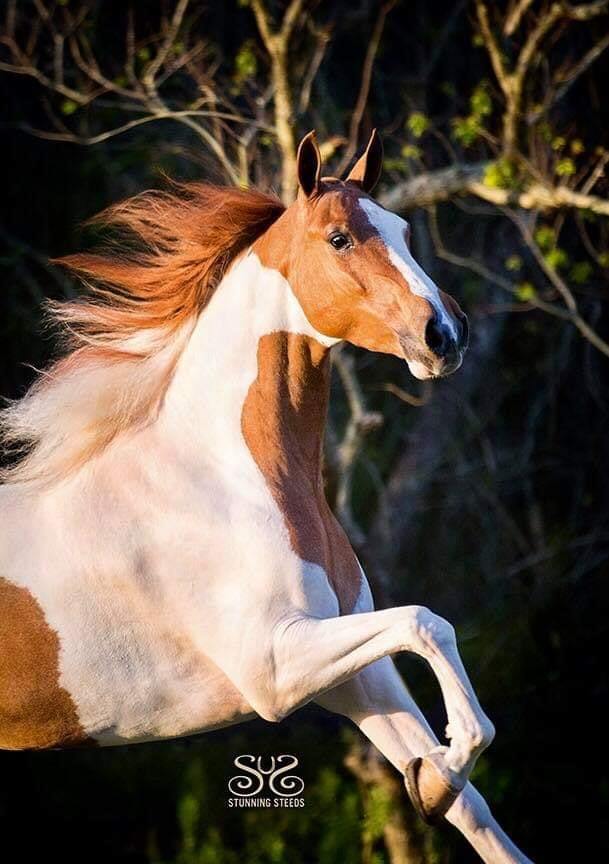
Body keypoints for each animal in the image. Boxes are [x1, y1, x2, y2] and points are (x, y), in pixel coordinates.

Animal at [0, 130, 532, 864]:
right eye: (339, 238)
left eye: (401, 229)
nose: (444, 335)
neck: (224, 481)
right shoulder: (275, 667)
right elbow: (426, 620)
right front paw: (436, 775)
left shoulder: (353, 678)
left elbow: (469, 795)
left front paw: (432, 779)